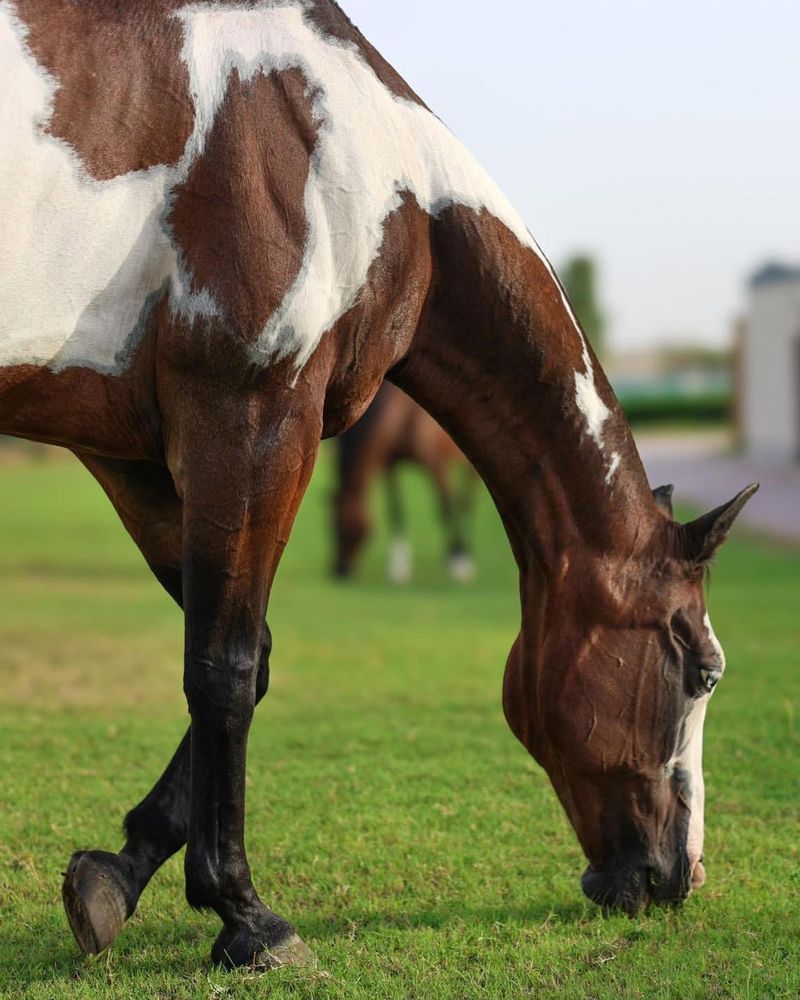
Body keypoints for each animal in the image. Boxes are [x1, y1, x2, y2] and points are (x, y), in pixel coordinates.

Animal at [330, 378, 476, 584]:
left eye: (341, 524)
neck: (401, 416)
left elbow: (445, 507)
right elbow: (396, 509)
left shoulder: (435, 464)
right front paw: (398, 566)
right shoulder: (391, 466)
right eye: (329, 526)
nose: (339, 570)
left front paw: (458, 560)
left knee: (466, 501)